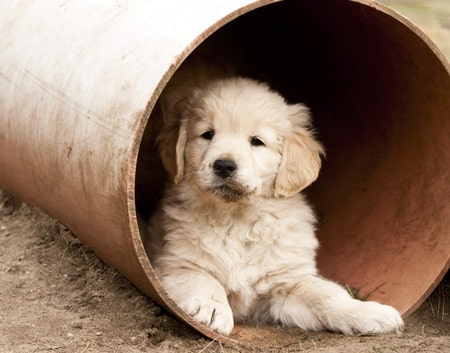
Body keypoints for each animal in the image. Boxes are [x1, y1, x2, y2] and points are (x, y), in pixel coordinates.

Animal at [145, 55, 404, 336]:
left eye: (257, 141)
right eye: (207, 134)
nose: (224, 165)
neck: (236, 218)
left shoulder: (287, 281)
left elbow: (326, 294)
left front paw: (368, 312)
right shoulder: (177, 263)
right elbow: (202, 279)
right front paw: (211, 307)